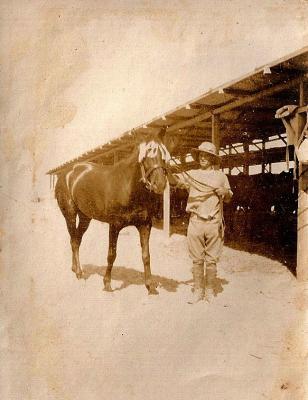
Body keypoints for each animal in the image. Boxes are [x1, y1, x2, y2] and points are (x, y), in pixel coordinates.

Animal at [55, 131, 171, 294]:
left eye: (164, 155)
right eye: (145, 156)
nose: (160, 185)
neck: (128, 187)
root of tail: (67, 173)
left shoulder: (145, 225)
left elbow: (146, 256)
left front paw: (150, 286)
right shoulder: (114, 225)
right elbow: (112, 254)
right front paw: (107, 284)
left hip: (85, 217)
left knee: (77, 239)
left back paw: (76, 269)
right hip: (70, 215)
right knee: (73, 240)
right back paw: (78, 273)